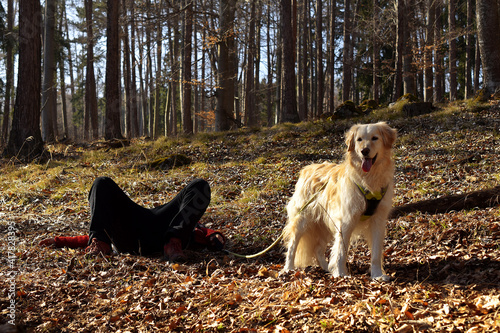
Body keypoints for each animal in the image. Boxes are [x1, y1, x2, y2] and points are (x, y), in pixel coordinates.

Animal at [284, 120, 396, 278]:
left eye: (375, 138)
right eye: (359, 139)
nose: (364, 151)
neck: (368, 179)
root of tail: (307, 169)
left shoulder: (378, 220)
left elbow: (376, 253)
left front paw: (377, 275)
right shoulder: (346, 220)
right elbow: (341, 251)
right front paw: (341, 273)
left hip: (324, 223)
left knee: (318, 248)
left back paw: (326, 268)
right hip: (303, 219)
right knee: (292, 245)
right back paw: (288, 268)